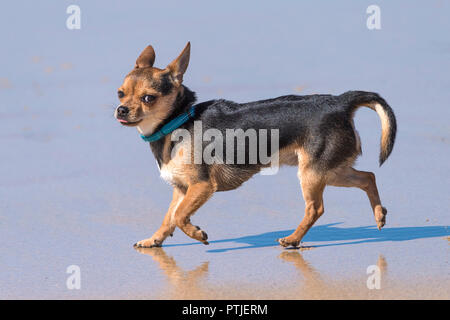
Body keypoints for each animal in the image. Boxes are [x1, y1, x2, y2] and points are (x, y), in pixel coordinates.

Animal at [115, 42, 398, 248]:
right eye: (120, 93)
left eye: (148, 98)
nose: (121, 109)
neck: (178, 121)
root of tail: (340, 102)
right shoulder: (182, 189)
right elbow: (168, 218)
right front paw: (154, 240)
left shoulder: (202, 186)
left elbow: (179, 215)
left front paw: (197, 234)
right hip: (331, 170)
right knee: (368, 177)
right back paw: (379, 214)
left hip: (312, 173)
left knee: (316, 208)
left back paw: (293, 239)